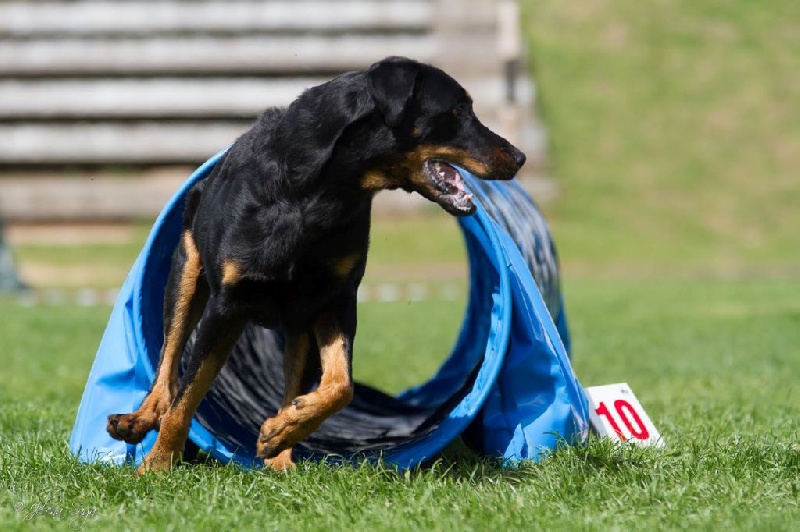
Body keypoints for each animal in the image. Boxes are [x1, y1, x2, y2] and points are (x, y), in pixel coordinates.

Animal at [108, 57, 524, 474]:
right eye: (458, 110)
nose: (519, 157)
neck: (322, 191)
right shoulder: (226, 304)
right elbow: (188, 393)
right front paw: (158, 463)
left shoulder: (333, 299)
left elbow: (341, 384)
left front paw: (282, 429)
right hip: (186, 272)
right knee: (169, 358)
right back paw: (138, 419)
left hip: (297, 325)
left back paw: (280, 454)